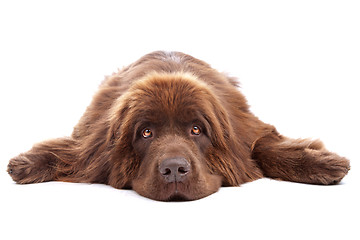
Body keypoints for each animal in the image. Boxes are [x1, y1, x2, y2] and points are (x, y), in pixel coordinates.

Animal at [7, 51, 350, 202]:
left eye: (197, 130)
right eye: (146, 133)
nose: (174, 169)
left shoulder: (245, 131)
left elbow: (265, 146)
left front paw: (325, 164)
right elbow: (70, 153)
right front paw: (25, 164)